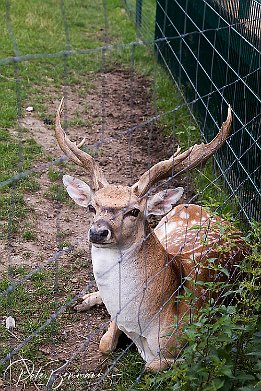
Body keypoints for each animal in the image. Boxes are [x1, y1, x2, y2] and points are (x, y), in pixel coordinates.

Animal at [53, 99, 245, 372]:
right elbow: (105, 344)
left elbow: (149, 366)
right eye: (92, 207)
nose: (98, 231)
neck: (144, 323)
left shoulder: (190, 352)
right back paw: (81, 300)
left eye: (134, 211)